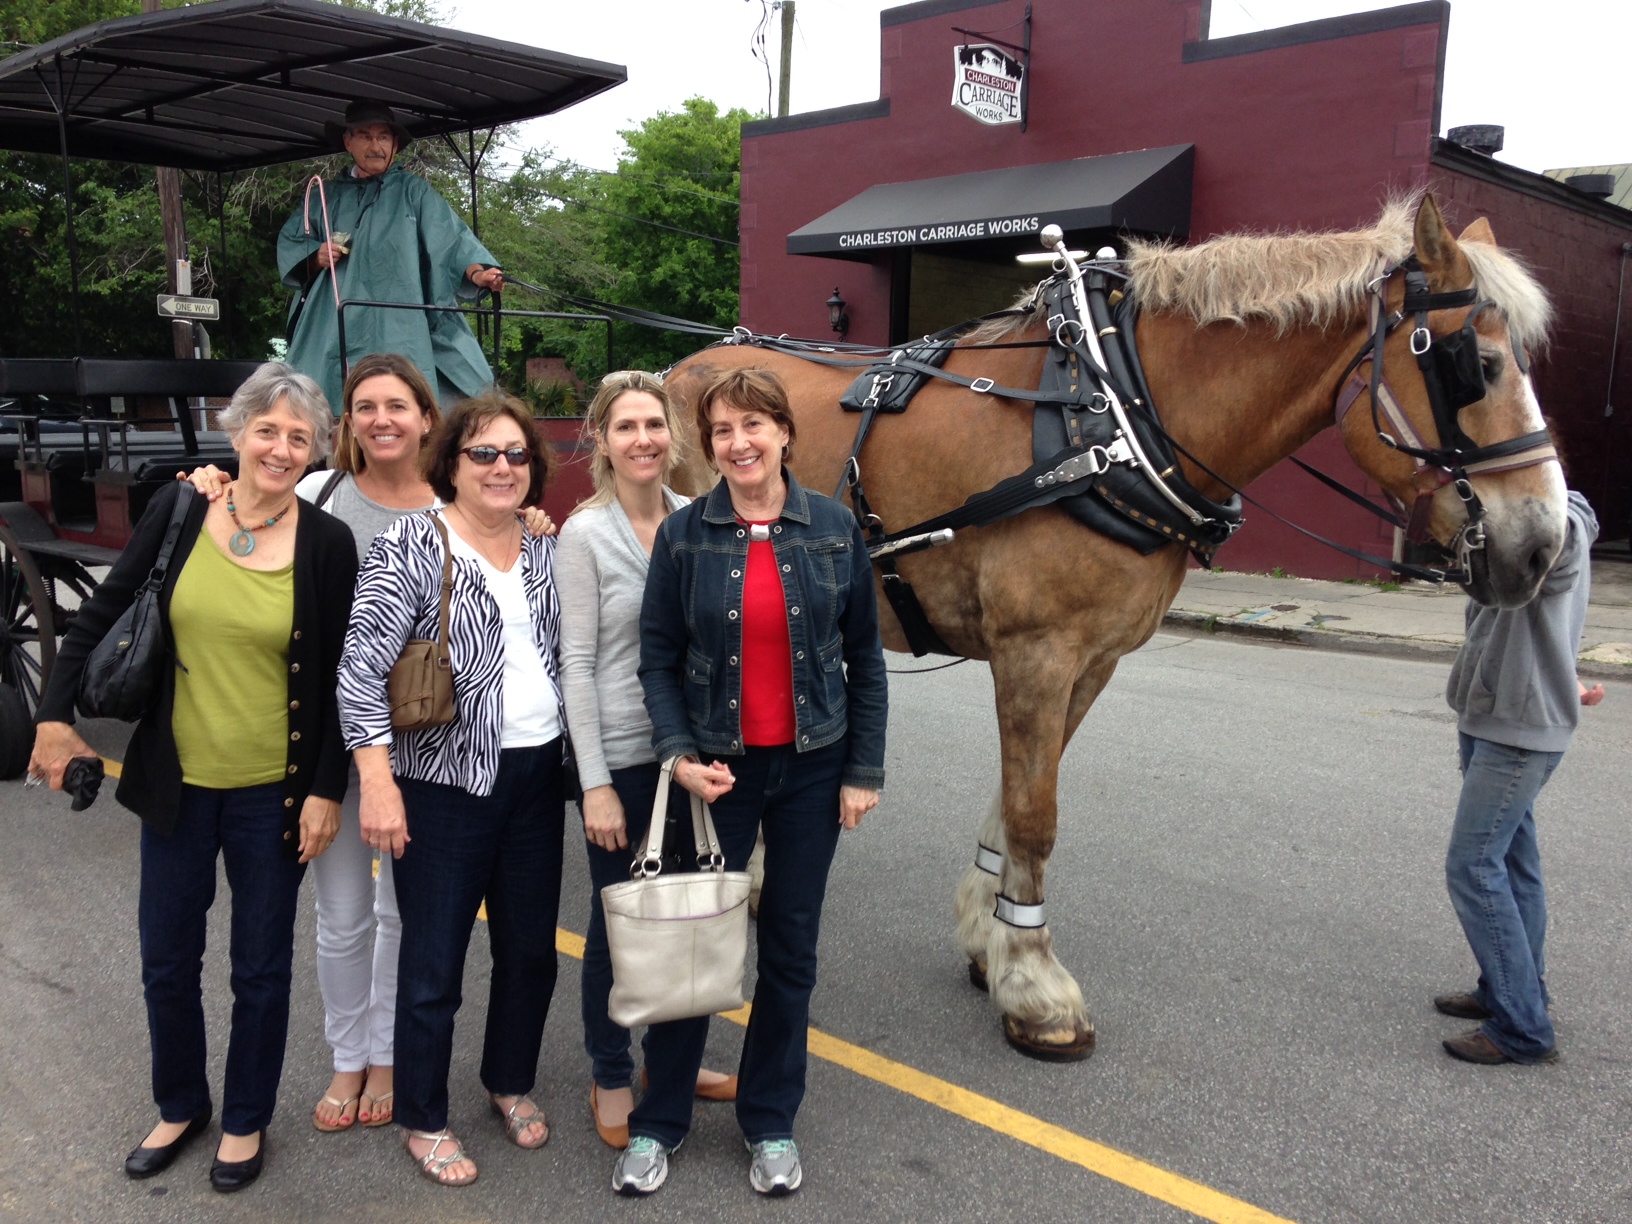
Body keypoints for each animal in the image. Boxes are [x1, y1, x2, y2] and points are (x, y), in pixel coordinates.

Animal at [661, 195, 1566, 1060]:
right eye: (1476, 367)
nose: (1541, 545)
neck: (1112, 416)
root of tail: (681, 364)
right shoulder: (1037, 651)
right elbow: (1037, 816)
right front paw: (1037, 990)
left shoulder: (1089, 660)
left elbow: (1017, 799)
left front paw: (990, 940)